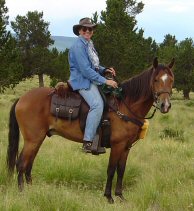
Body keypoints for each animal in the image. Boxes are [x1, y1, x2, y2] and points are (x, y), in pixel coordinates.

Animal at [7, 57, 174, 203]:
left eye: (171, 80)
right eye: (156, 80)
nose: (165, 105)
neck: (124, 106)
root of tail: (22, 98)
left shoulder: (126, 147)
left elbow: (121, 170)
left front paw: (120, 196)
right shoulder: (117, 145)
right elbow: (111, 170)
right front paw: (109, 197)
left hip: (38, 139)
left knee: (29, 164)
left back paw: (32, 190)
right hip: (32, 139)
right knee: (21, 163)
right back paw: (22, 192)